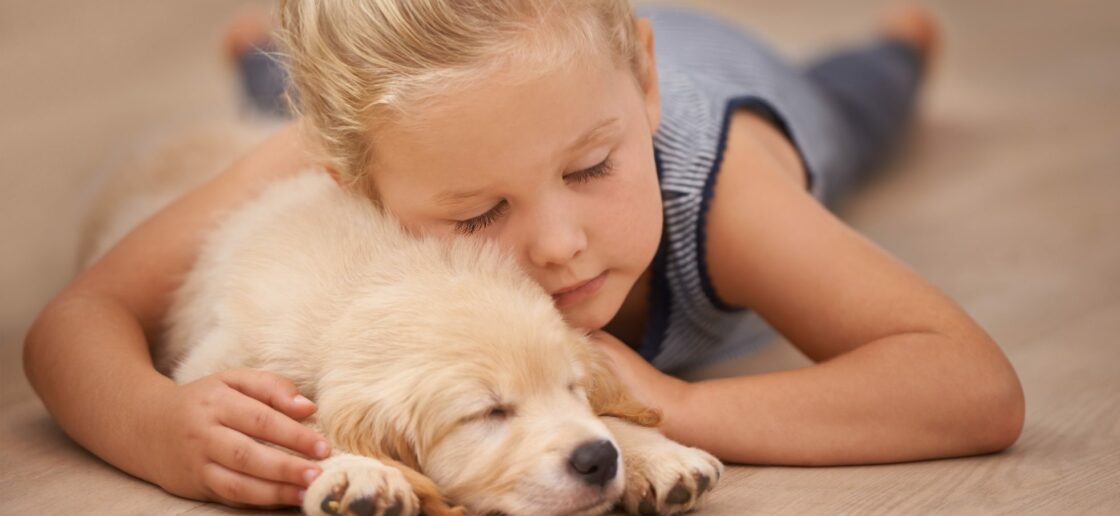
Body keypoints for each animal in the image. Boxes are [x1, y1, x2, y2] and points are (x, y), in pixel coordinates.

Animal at [87, 124, 721, 514]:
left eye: (573, 389)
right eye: (488, 413)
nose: (598, 460)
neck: (364, 277)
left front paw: (652, 453)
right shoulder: (220, 369)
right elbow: (309, 425)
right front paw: (359, 473)